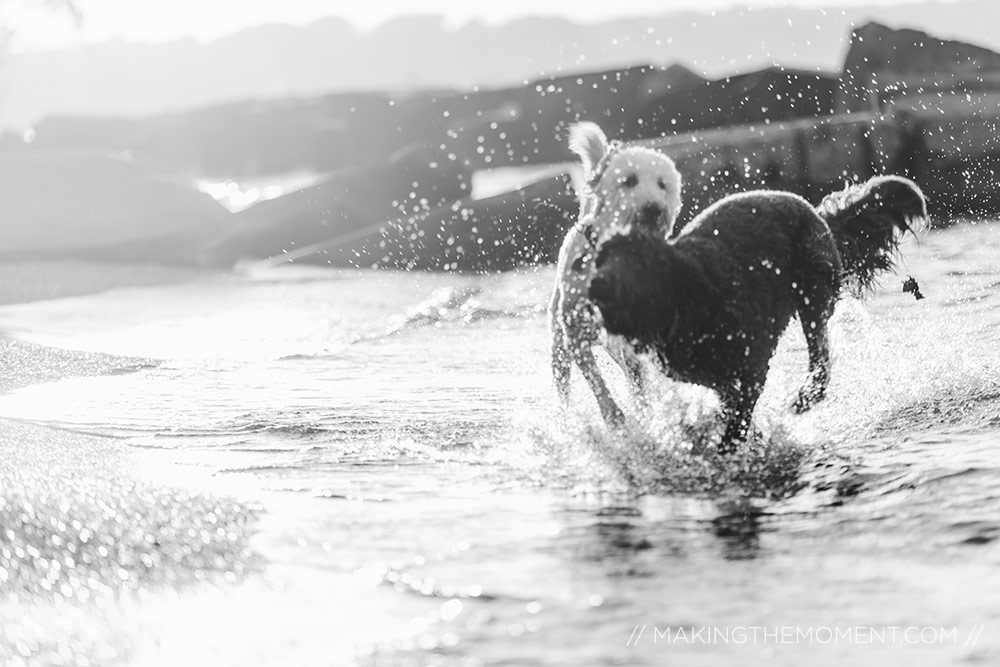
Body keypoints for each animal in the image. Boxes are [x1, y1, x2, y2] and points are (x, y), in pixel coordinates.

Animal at [548, 124, 680, 428]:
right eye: (629, 181)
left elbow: (639, 381)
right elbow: (595, 379)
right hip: (559, 347)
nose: (653, 209)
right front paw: (614, 415)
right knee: (563, 382)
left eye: (663, 184)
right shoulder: (575, 333)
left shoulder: (632, 340)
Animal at [588, 175, 924, 452]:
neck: (687, 297)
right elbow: (728, 410)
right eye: (600, 259)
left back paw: (805, 396)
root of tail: (816, 213)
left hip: (812, 294)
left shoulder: (752, 368)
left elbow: (735, 424)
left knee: (820, 361)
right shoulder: (719, 379)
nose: (594, 285)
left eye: (634, 263)